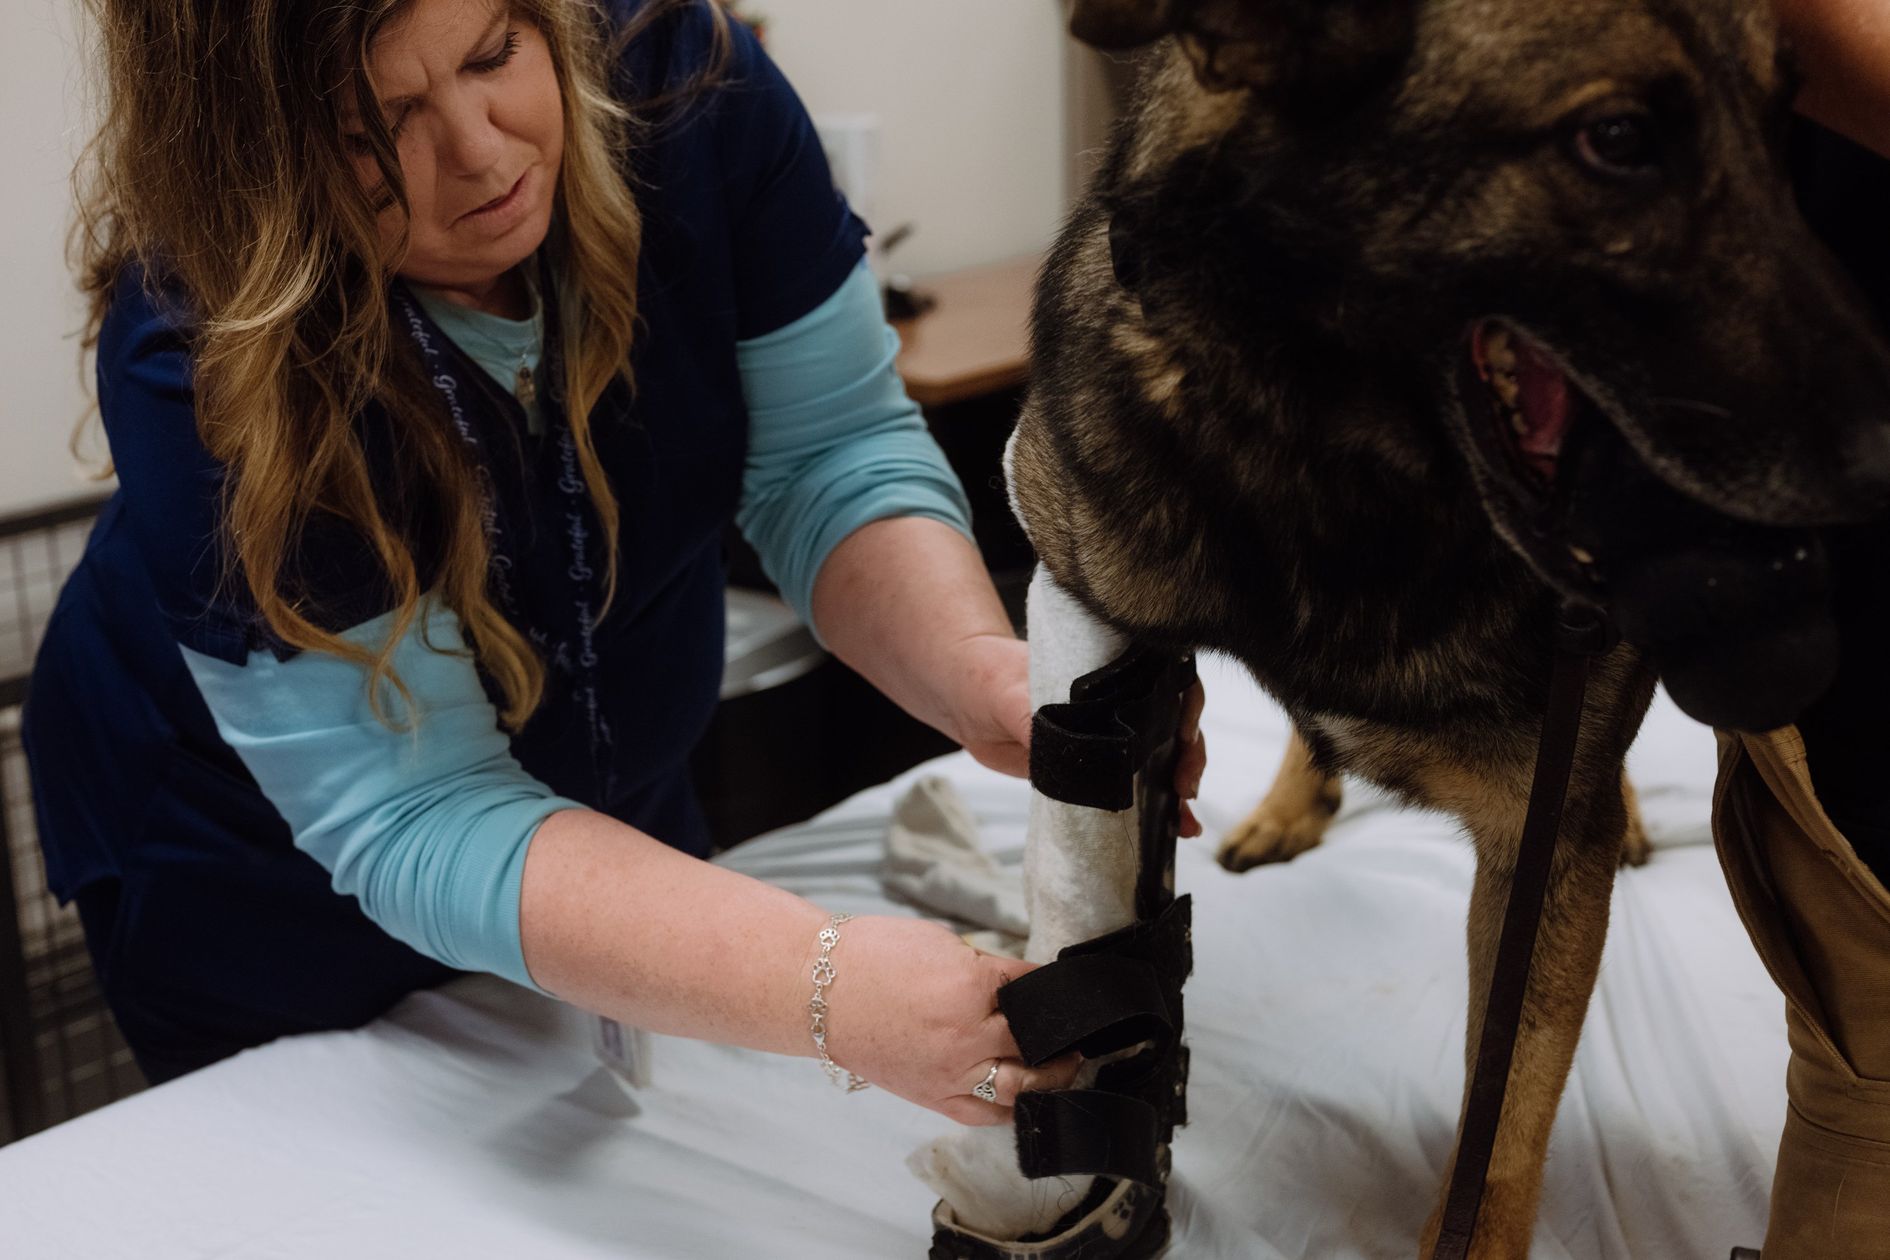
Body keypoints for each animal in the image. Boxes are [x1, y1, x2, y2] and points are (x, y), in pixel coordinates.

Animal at [990, 0, 1890, 1254]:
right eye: (1618, 139)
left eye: (1782, 120)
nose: (1888, 478)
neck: (1346, 476)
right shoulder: (1082, 592)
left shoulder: (1538, 843)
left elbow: (1502, 1117)